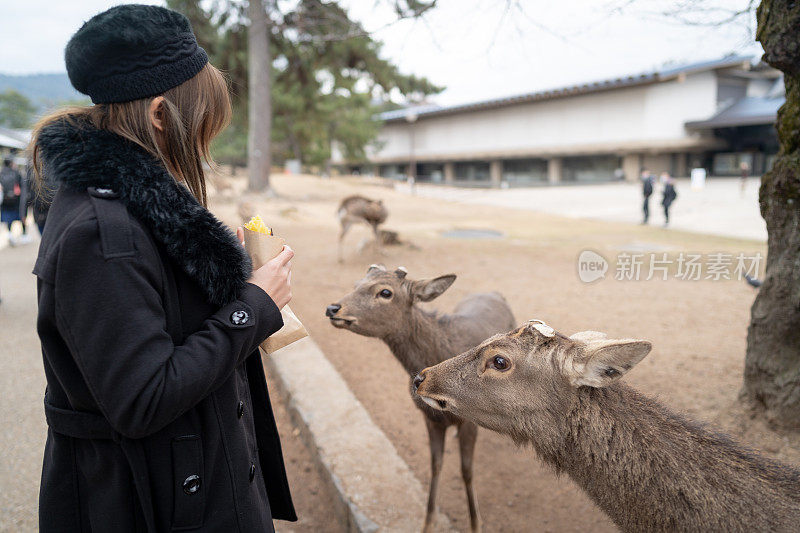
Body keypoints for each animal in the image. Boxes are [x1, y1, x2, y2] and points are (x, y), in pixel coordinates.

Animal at [326, 264, 520, 528]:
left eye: (385, 292)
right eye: (356, 284)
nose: (333, 308)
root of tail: (494, 292)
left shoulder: (469, 423)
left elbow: (467, 471)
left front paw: (476, 524)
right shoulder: (430, 418)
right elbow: (435, 466)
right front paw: (427, 523)